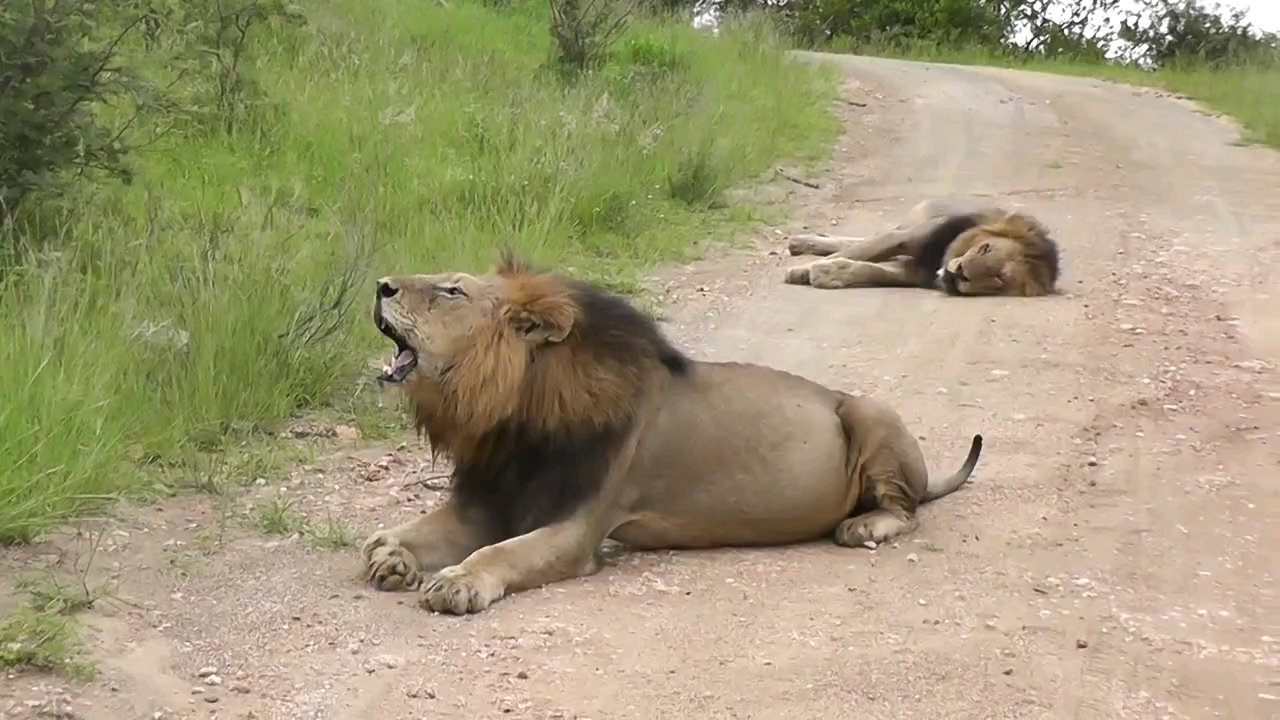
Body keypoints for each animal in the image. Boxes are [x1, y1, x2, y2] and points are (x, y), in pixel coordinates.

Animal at [366, 251, 983, 609]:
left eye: (452, 291)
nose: (381, 285)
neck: (510, 415)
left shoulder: (576, 530)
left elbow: (503, 554)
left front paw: (458, 581)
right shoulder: (488, 500)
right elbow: (410, 532)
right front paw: (391, 554)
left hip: (869, 411)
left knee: (907, 508)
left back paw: (866, 525)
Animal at [778, 197, 1059, 295]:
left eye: (999, 278)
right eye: (985, 248)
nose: (960, 273)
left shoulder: (914, 272)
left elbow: (869, 269)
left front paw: (828, 274)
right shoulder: (905, 238)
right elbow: (858, 252)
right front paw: (801, 271)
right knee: (860, 240)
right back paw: (801, 243)